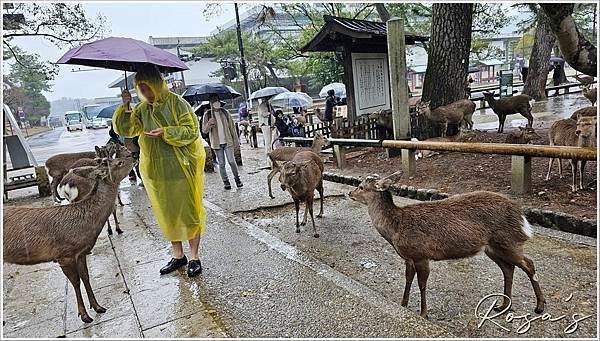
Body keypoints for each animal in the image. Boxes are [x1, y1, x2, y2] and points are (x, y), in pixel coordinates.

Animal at [3, 157, 135, 322]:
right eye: (119, 163)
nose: (135, 157)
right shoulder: (63, 254)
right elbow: (76, 282)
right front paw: (84, 315)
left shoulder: (81, 252)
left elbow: (86, 277)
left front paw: (97, 307)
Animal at [346, 173, 548, 318]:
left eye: (361, 186)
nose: (349, 193)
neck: (395, 228)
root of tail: (521, 216)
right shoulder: (408, 257)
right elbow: (408, 279)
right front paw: (403, 304)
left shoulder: (421, 254)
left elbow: (422, 284)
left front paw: (423, 314)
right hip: (493, 248)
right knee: (508, 268)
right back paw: (503, 305)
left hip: (508, 242)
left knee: (528, 264)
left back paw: (539, 307)